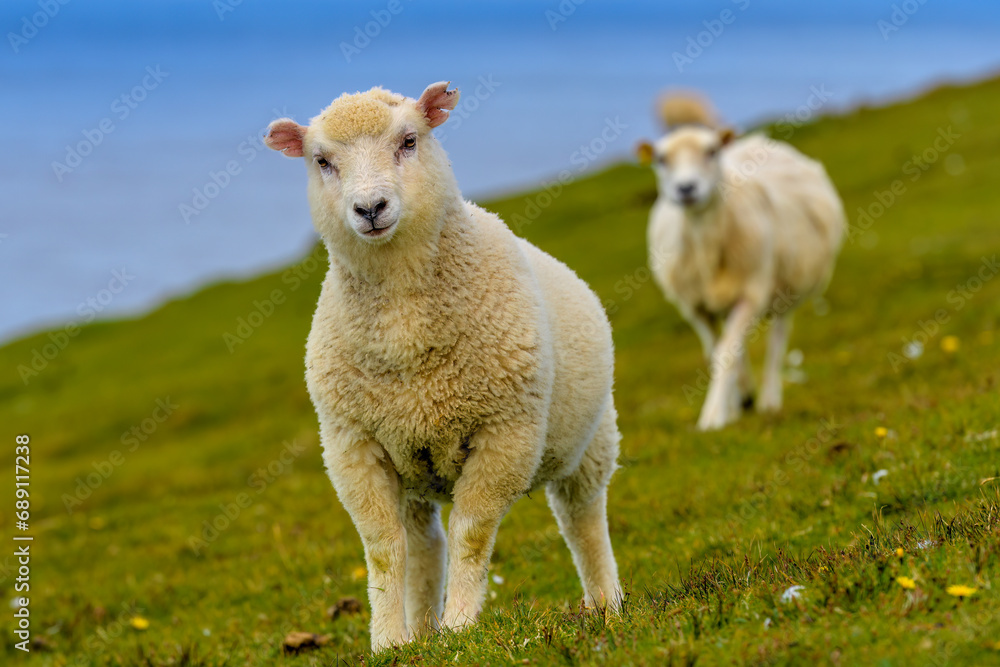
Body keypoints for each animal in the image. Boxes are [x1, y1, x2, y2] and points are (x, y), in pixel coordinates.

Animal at [264, 82, 622, 651]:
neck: (404, 325)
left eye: (409, 141)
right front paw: (389, 643)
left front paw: (460, 627)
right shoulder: (353, 447)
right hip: (412, 465)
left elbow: (471, 536)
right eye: (321, 161)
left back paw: (608, 606)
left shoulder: (505, 435)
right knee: (423, 543)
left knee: (582, 520)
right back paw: (420, 631)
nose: (370, 208)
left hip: (590, 441)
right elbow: (384, 548)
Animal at [637, 95, 845, 431]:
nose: (686, 189)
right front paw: (731, 407)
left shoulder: (752, 292)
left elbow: (726, 353)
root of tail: (754, 140)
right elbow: (715, 352)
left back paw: (769, 399)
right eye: (661, 159)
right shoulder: (695, 306)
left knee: (776, 341)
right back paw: (744, 396)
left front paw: (713, 417)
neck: (706, 243)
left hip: (787, 288)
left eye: (711, 151)